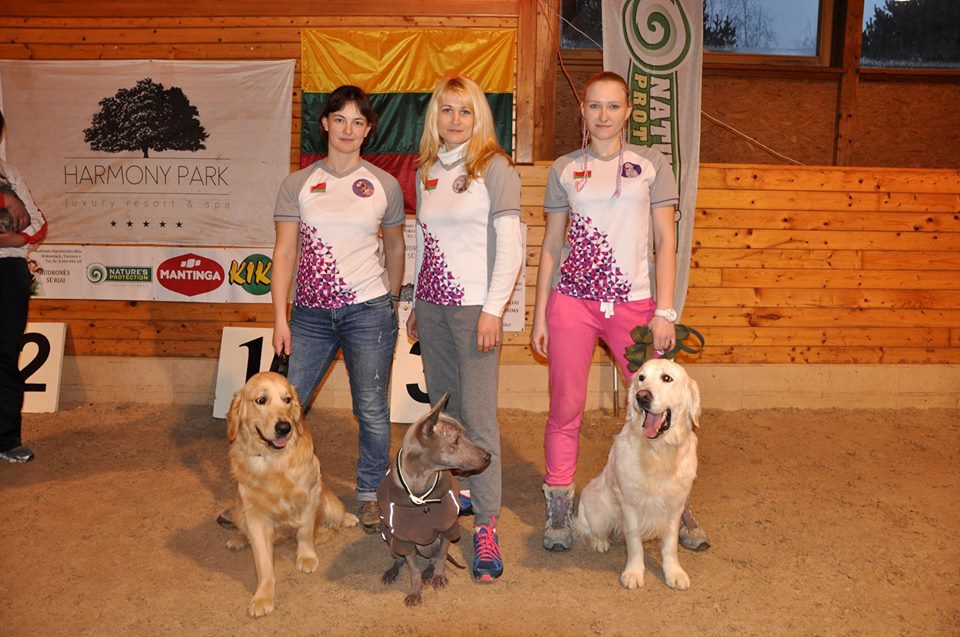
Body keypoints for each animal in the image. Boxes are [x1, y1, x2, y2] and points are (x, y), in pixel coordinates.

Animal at [225, 371, 358, 617]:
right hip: (240, 510)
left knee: (334, 516)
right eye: (261, 400)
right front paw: (263, 596)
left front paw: (306, 557)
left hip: (328, 501)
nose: (284, 427)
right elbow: (263, 562)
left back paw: (346, 519)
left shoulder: (310, 494)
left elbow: (305, 532)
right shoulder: (255, 515)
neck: (273, 461)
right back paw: (239, 539)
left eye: (287, 400)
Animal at [378, 394, 491, 606]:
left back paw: (429, 573)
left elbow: (442, 556)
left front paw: (438, 576)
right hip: (392, 540)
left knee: (433, 557)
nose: (488, 456)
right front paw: (415, 591)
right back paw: (393, 571)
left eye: (466, 435)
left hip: (430, 544)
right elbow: (413, 569)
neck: (422, 488)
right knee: (399, 558)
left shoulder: (447, 529)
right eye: (456, 440)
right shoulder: (404, 539)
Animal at [572, 358, 701, 591]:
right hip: (596, 505)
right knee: (591, 528)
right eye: (641, 377)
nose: (642, 396)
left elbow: (670, 544)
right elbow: (634, 543)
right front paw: (633, 572)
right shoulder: (630, 504)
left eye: (667, 378)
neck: (658, 451)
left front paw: (674, 572)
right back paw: (600, 542)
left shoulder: (675, 505)